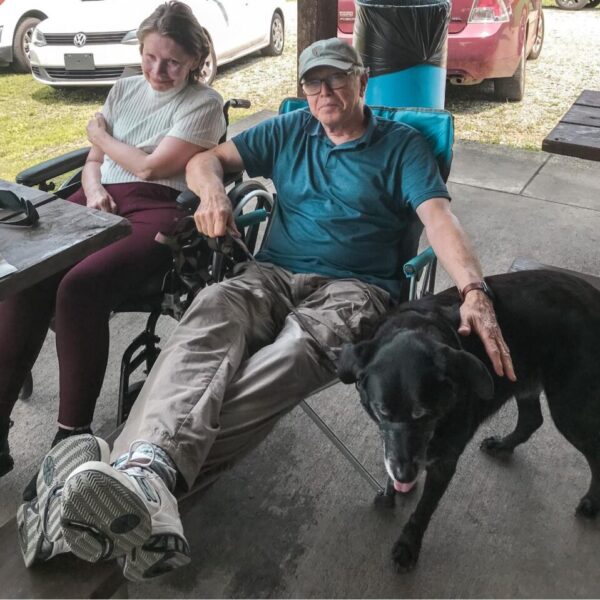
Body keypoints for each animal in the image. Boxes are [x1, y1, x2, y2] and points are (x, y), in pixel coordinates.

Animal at [338, 270, 600, 572]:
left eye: (422, 413)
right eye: (381, 411)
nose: (404, 475)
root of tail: (593, 295)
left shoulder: (444, 463)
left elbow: (424, 509)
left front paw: (408, 545)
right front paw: (392, 490)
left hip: (570, 407)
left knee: (593, 451)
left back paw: (592, 503)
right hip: (521, 378)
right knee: (532, 419)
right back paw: (503, 445)